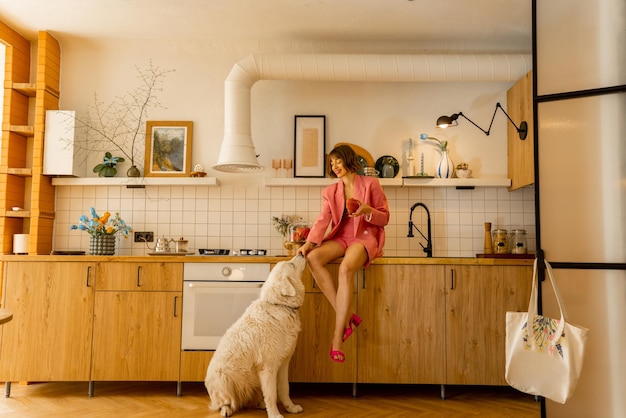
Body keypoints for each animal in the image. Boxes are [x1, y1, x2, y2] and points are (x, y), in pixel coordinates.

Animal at [206, 255, 306, 418]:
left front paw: (291, 408)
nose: (302, 254)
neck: (279, 305)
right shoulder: (268, 367)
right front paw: (275, 414)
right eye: (291, 264)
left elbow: (284, 389)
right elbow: (272, 394)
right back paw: (227, 409)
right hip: (223, 377)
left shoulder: (283, 364)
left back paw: (260, 404)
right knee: (227, 402)